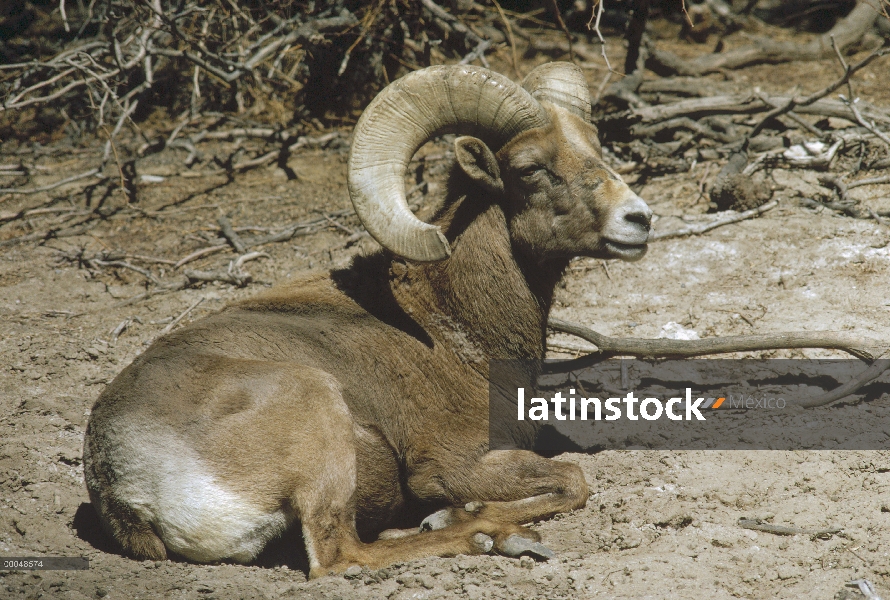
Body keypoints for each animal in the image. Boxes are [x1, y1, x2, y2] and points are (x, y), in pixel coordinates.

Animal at [83, 61, 648, 576]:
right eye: (531, 168)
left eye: (595, 150)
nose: (638, 219)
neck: (450, 325)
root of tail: (124, 481)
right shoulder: (454, 466)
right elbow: (573, 479)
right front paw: (453, 514)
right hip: (318, 408)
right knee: (340, 556)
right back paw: (489, 534)